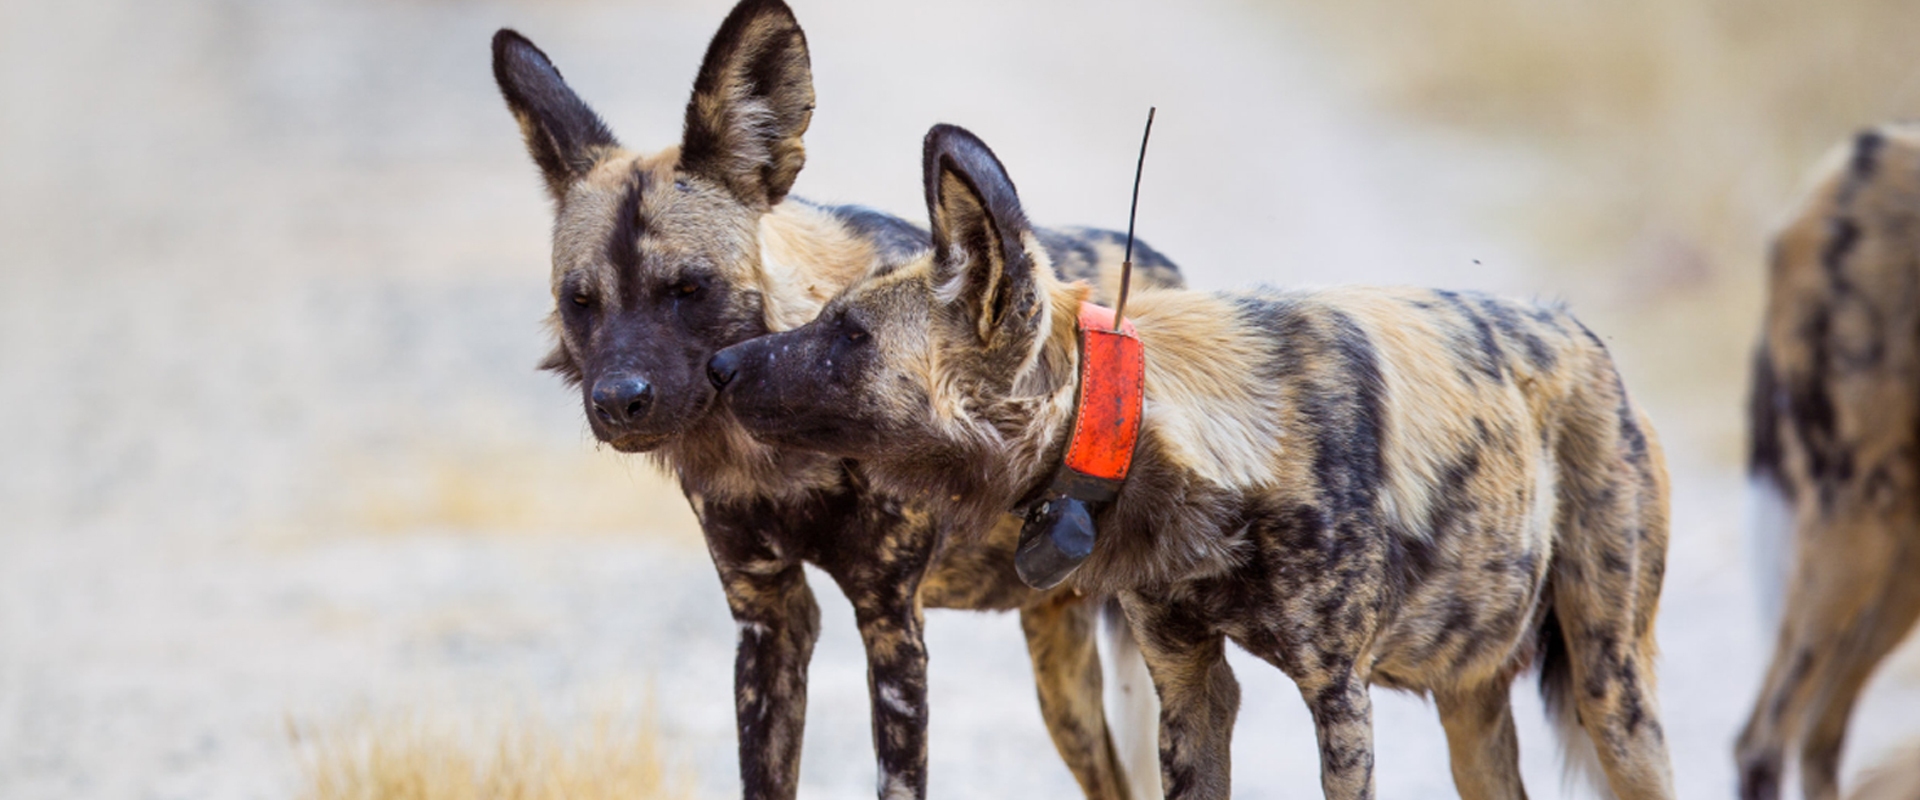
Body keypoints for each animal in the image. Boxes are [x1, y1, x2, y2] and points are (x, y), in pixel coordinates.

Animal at [487, 3, 1175, 794]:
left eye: (688, 288)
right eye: (580, 302)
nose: (620, 400)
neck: (778, 460)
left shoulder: (893, 628)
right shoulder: (769, 618)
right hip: (1060, 673)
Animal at [710, 124, 1681, 798]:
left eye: (848, 334)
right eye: (830, 315)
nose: (719, 366)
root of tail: (1584, 335)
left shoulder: (1340, 698)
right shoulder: (1191, 689)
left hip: (1614, 699)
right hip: (1470, 703)